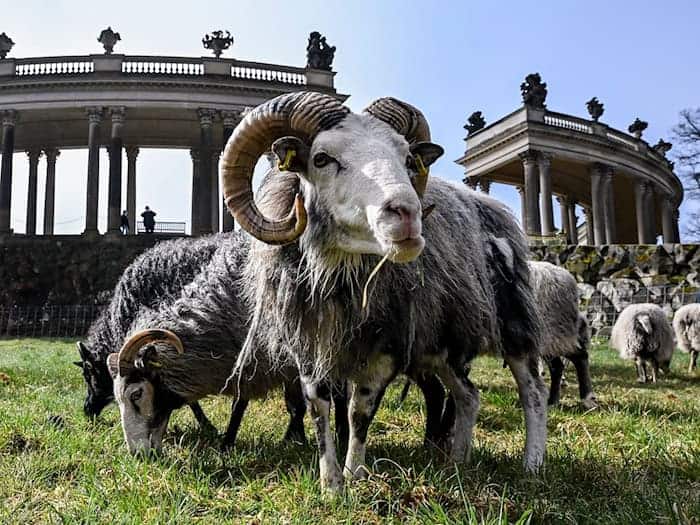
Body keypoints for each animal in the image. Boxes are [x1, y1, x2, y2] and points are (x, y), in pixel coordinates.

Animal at [212, 91, 546, 492]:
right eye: (321, 159)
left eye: (407, 159)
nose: (407, 214)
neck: (341, 279)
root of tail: (492, 208)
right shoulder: (308, 344)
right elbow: (319, 408)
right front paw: (330, 485)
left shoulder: (387, 343)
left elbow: (359, 413)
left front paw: (355, 477)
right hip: (442, 341)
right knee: (468, 394)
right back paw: (458, 462)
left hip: (514, 322)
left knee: (533, 391)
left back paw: (532, 465)